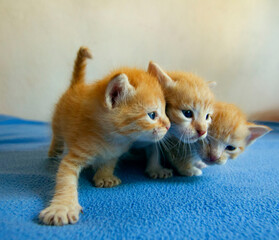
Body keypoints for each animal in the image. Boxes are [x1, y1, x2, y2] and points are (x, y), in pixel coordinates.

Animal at [39, 47, 171, 226]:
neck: (113, 139)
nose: (169, 125)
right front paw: (62, 207)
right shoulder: (74, 156)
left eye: (165, 110)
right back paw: (54, 151)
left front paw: (105, 176)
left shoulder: (114, 153)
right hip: (58, 122)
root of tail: (76, 85)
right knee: (57, 136)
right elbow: (65, 181)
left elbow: (109, 163)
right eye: (152, 115)